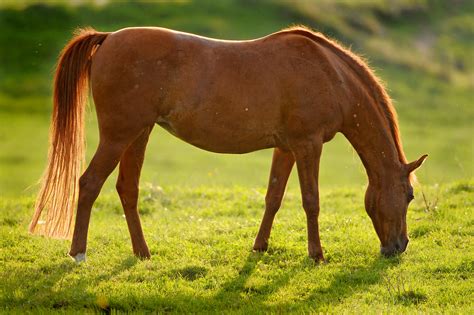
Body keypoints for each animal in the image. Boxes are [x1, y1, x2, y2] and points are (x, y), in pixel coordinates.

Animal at [30, 26, 430, 264]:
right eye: (409, 196)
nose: (399, 247)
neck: (331, 75)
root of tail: (109, 37)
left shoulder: (286, 148)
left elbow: (273, 198)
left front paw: (260, 247)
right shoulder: (308, 146)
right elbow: (311, 202)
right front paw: (317, 255)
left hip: (138, 135)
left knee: (127, 190)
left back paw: (143, 253)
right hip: (118, 136)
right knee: (88, 184)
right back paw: (78, 253)